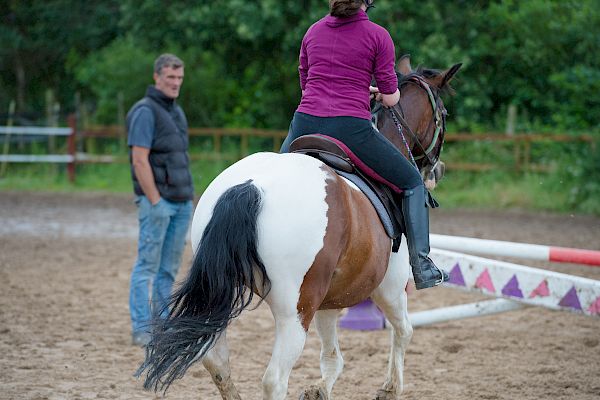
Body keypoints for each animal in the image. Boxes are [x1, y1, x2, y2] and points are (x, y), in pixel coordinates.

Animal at [137, 57, 464, 400]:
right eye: (444, 115)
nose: (438, 170)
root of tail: (249, 188)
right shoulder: (390, 284)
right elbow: (404, 330)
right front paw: (389, 388)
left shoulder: (331, 296)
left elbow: (332, 356)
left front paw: (320, 389)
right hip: (294, 310)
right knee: (274, 379)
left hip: (219, 289)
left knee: (216, 361)